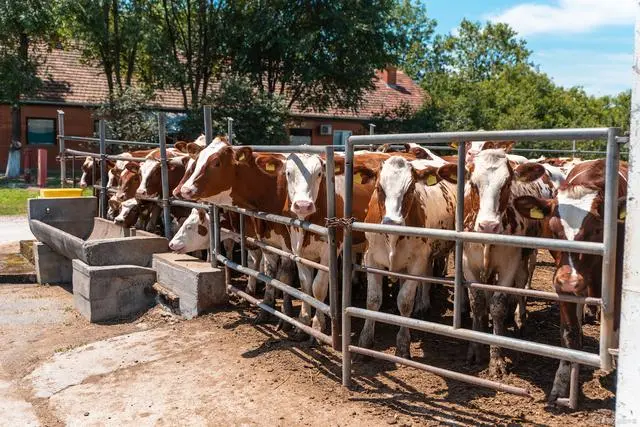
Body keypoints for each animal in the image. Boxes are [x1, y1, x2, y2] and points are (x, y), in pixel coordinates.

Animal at [440, 150, 556, 378]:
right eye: (473, 183)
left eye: (508, 183)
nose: (488, 226)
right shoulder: (469, 263)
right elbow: (477, 303)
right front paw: (475, 348)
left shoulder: (508, 265)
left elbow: (498, 306)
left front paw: (496, 359)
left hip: (526, 257)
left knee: (521, 284)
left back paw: (519, 319)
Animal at [512, 158, 628, 404]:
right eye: (553, 230)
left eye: (597, 230)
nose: (570, 281)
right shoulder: (562, 283)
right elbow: (569, 334)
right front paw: (561, 383)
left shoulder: (616, 283)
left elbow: (614, 330)